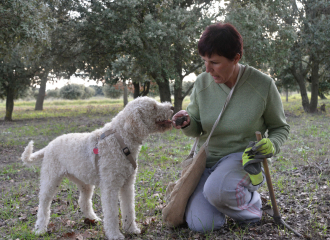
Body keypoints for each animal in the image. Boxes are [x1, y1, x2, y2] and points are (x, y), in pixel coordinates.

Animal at [21, 96, 174, 239]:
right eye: (153, 107)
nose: (172, 107)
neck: (120, 139)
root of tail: (48, 146)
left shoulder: (127, 184)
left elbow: (129, 208)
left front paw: (131, 229)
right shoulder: (110, 186)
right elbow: (112, 213)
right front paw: (115, 234)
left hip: (84, 181)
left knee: (83, 201)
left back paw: (93, 219)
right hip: (51, 178)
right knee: (43, 205)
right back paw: (40, 229)